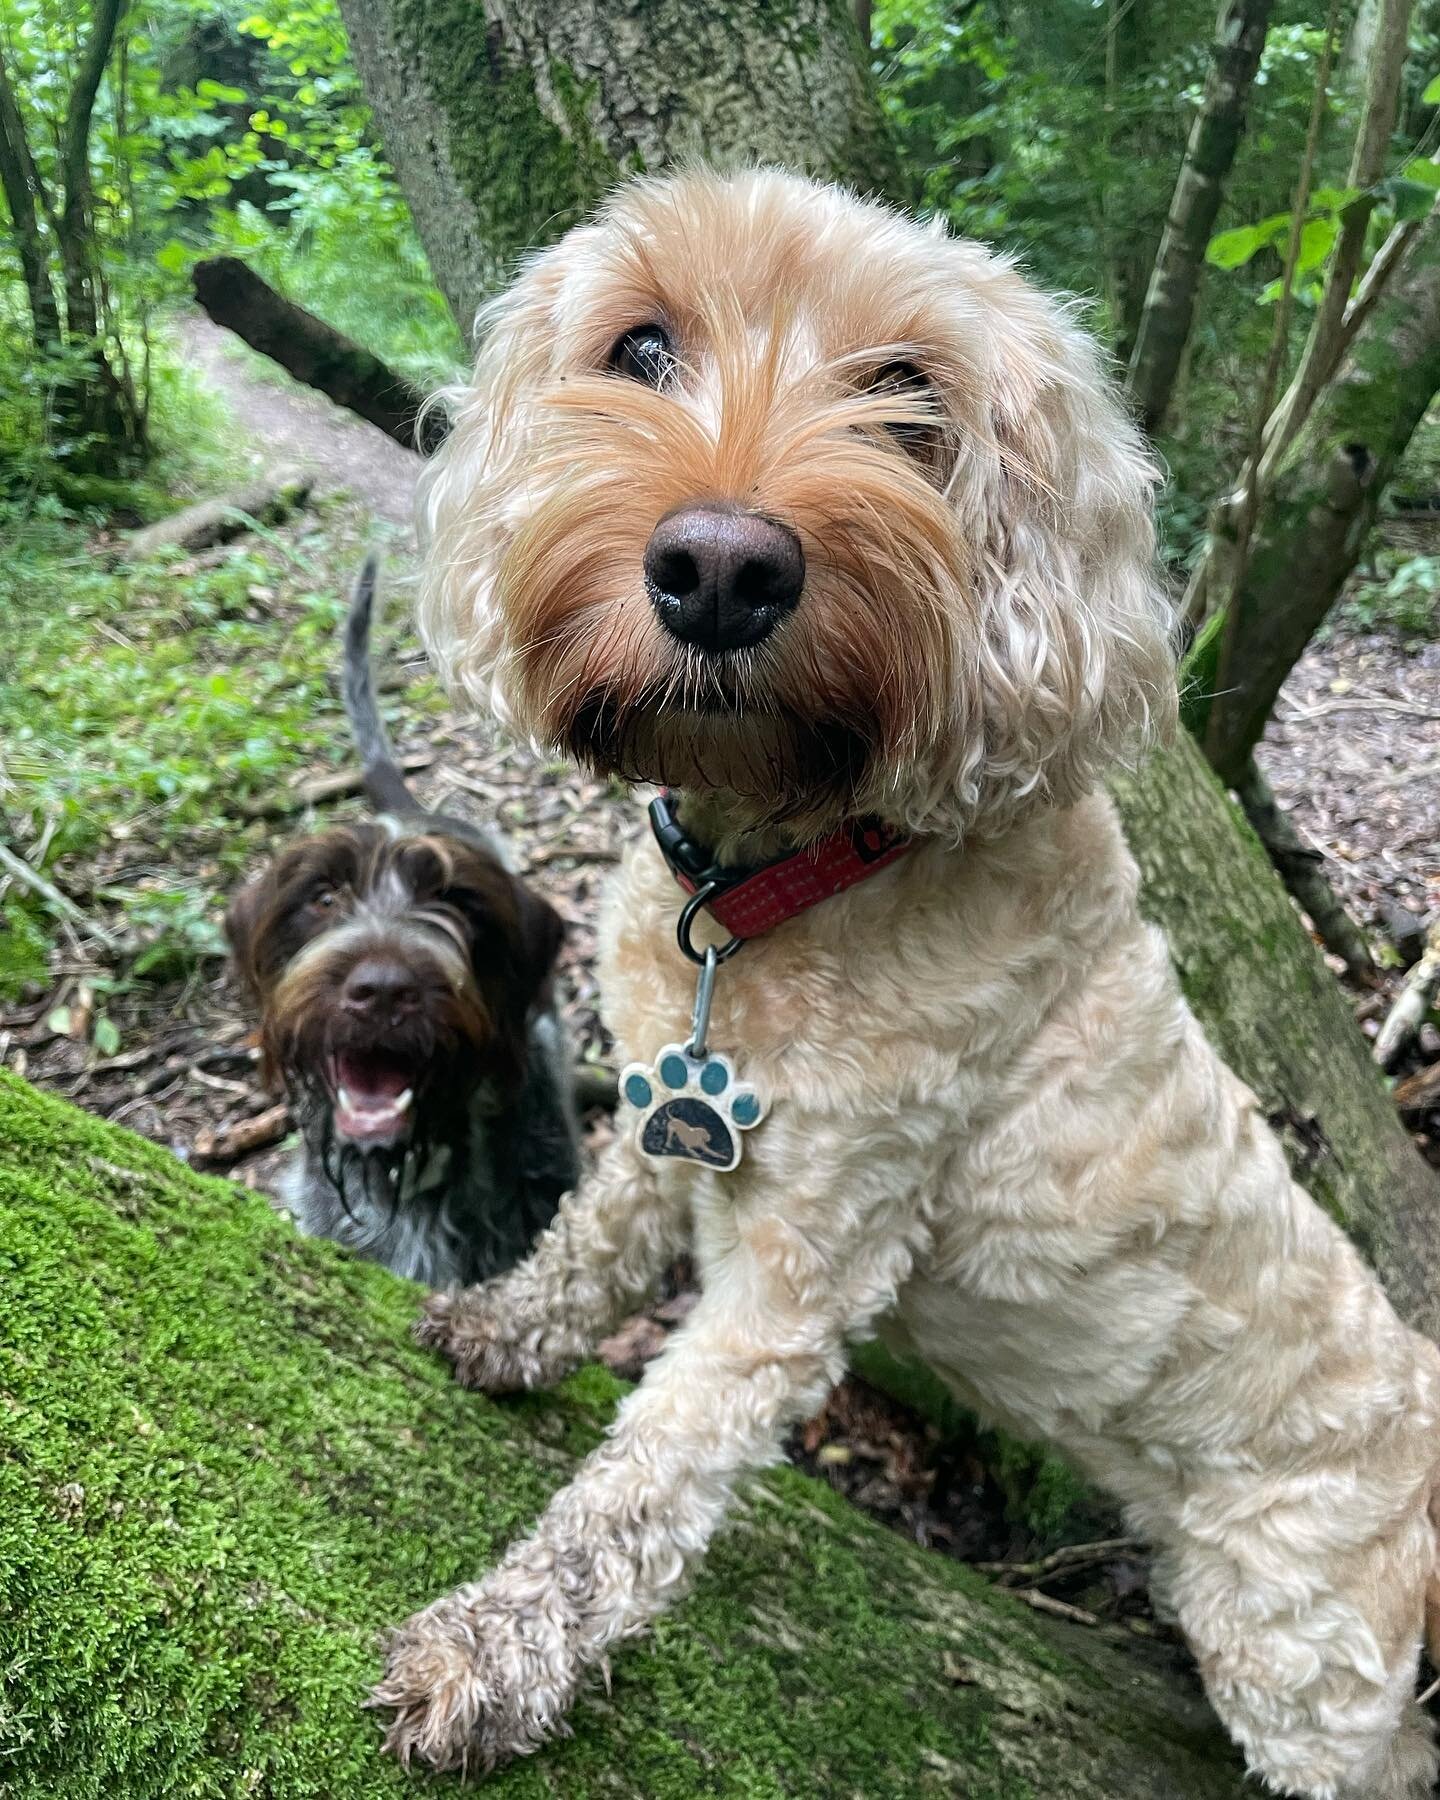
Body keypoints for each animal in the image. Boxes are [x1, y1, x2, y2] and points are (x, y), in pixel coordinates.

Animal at [374, 171, 1440, 1800]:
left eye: (909, 396)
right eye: (638, 349)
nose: (721, 567)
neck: (783, 876)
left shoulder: (813, 1254)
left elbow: (652, 1475)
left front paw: (493, 1651)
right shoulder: (659, 1107)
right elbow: (593, 1237)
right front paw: (501, 1328)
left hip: (1305, 1650)